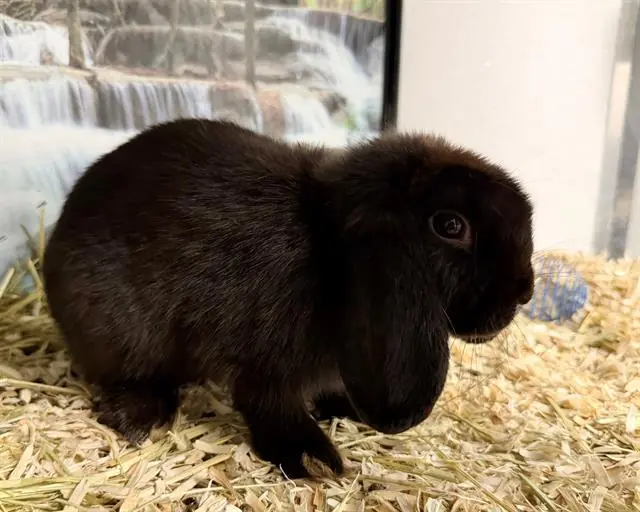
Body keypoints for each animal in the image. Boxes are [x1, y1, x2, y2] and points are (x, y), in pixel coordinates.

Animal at [42, 118, 535, 479]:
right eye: (450, 225)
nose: (525, 291)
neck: (327, 249)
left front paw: (341, 411)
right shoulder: (267, 366)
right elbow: (271, 407)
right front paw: (314, 460)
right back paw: (138, 415)